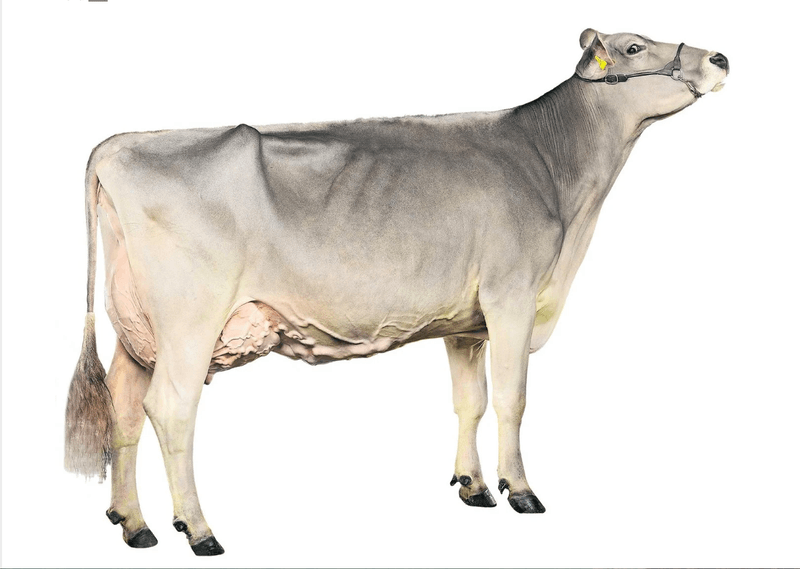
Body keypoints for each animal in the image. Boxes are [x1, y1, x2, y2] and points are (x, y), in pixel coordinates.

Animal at [65, 29, 729, 556]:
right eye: (634, 47)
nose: (719, 57)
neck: (554, 172)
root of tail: (120, 143)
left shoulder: (467, 323)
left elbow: (471, 401)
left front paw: (474, 486)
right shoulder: (512, 296)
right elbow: (512, 399)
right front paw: (520, 490)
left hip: (137, 327)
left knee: (124, 406)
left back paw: (134, 524)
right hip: (189, 322)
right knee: (171, 410)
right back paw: (199, 531)